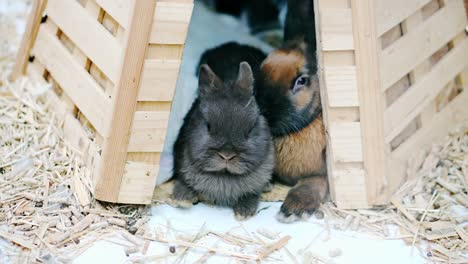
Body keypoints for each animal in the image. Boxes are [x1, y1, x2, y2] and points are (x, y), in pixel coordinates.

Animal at [171, 60, 274, 220]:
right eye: (208, 126)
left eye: (251, 128)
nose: (227, 155)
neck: (224, 175)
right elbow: (184, 181)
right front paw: (181, 199)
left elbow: (252, 194)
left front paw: (243, 213)